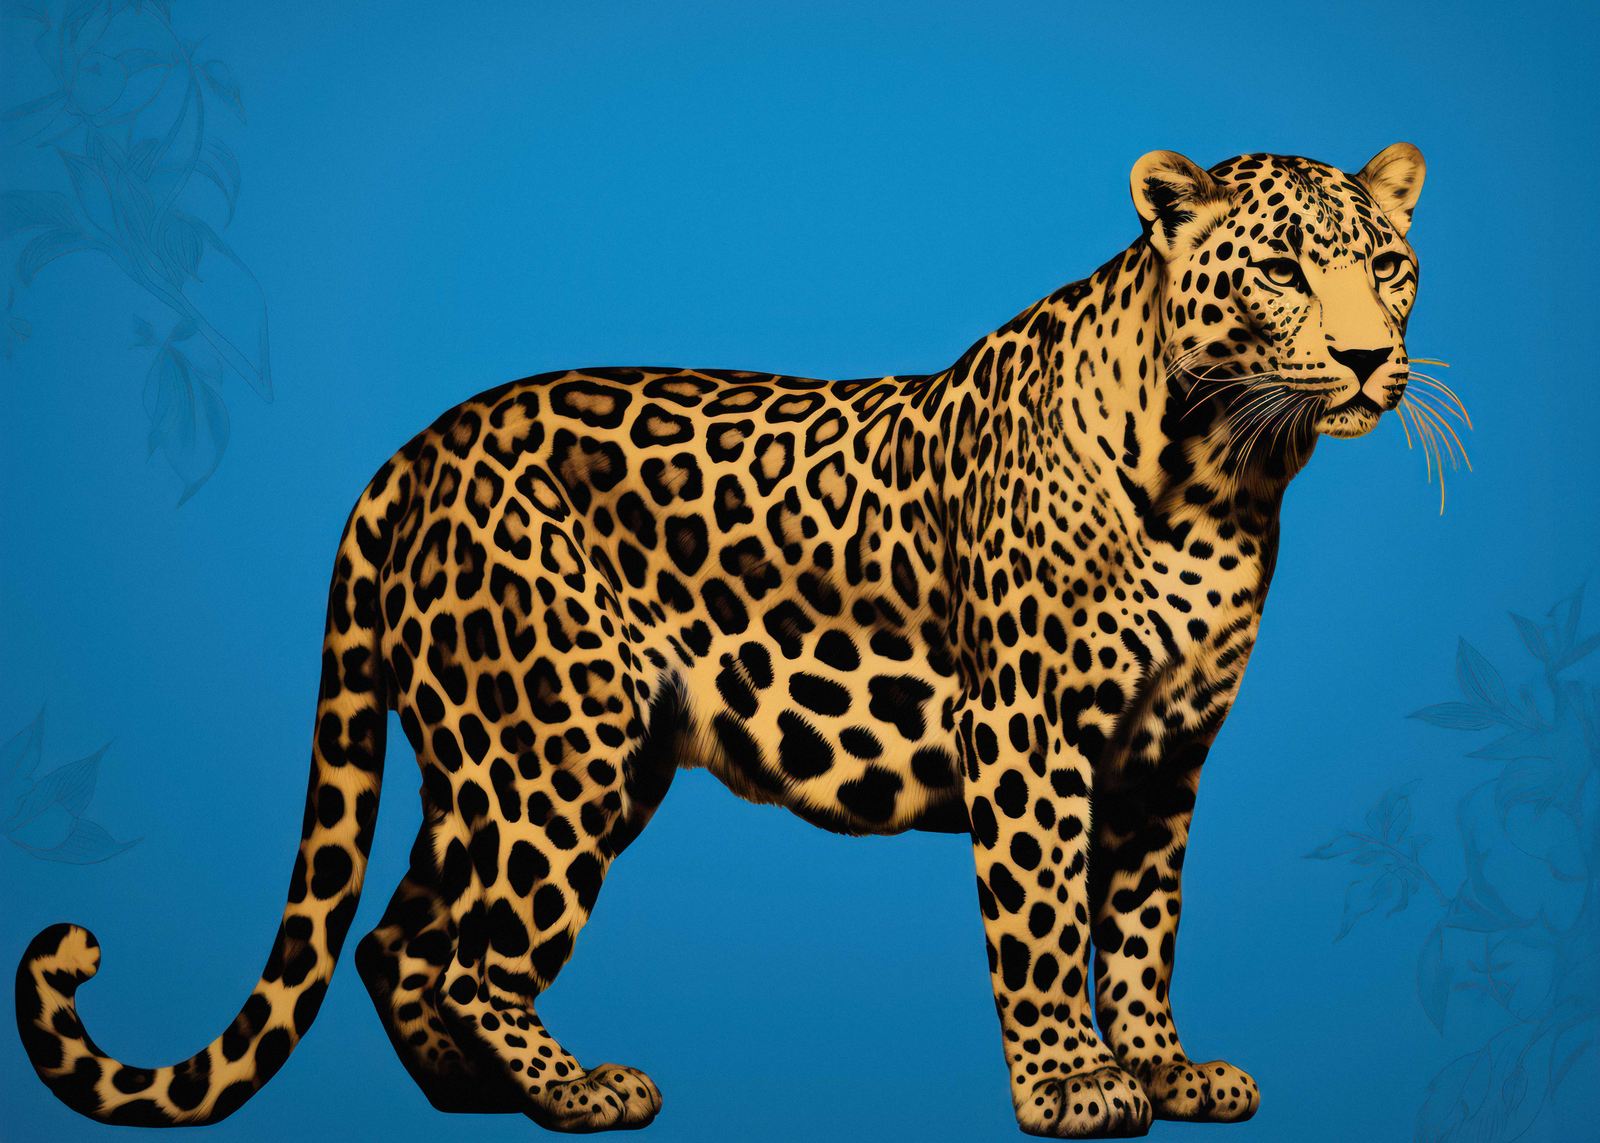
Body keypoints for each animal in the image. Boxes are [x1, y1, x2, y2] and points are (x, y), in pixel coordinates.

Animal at [16, 143, 1427, 1139]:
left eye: (1388, 267)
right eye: (1282, 270)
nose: (1371, 359)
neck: (1224, 473)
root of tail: (411, 452)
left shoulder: (1165, 751)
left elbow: (1138, 925)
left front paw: (1163, 1066)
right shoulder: (1028, 732)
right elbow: (1038, 918)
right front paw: (1075, 1088)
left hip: (508, 754)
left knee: (393, 937)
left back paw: (479, 1093)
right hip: (555, 747)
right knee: (471, 953)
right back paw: (578, 1093)